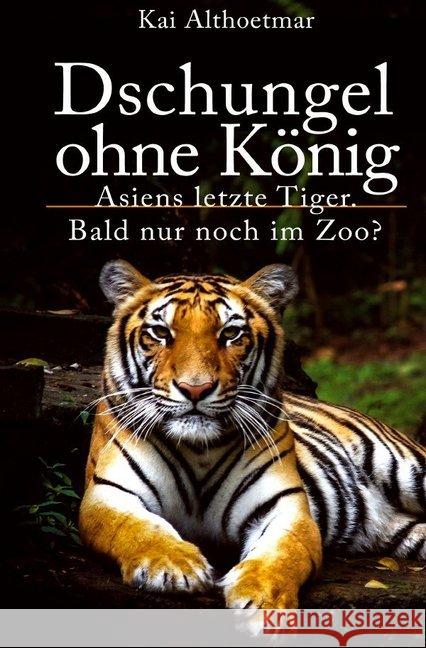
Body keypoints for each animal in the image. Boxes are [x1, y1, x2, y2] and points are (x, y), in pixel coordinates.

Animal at [80, 260, 426, 609]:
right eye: (161, 332)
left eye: (231, 333)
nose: (196, 388)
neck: (199, 450)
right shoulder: (107, 494)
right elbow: (139, 529)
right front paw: (175, 566)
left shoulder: (284, 507)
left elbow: (282, 555)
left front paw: (261, 599)